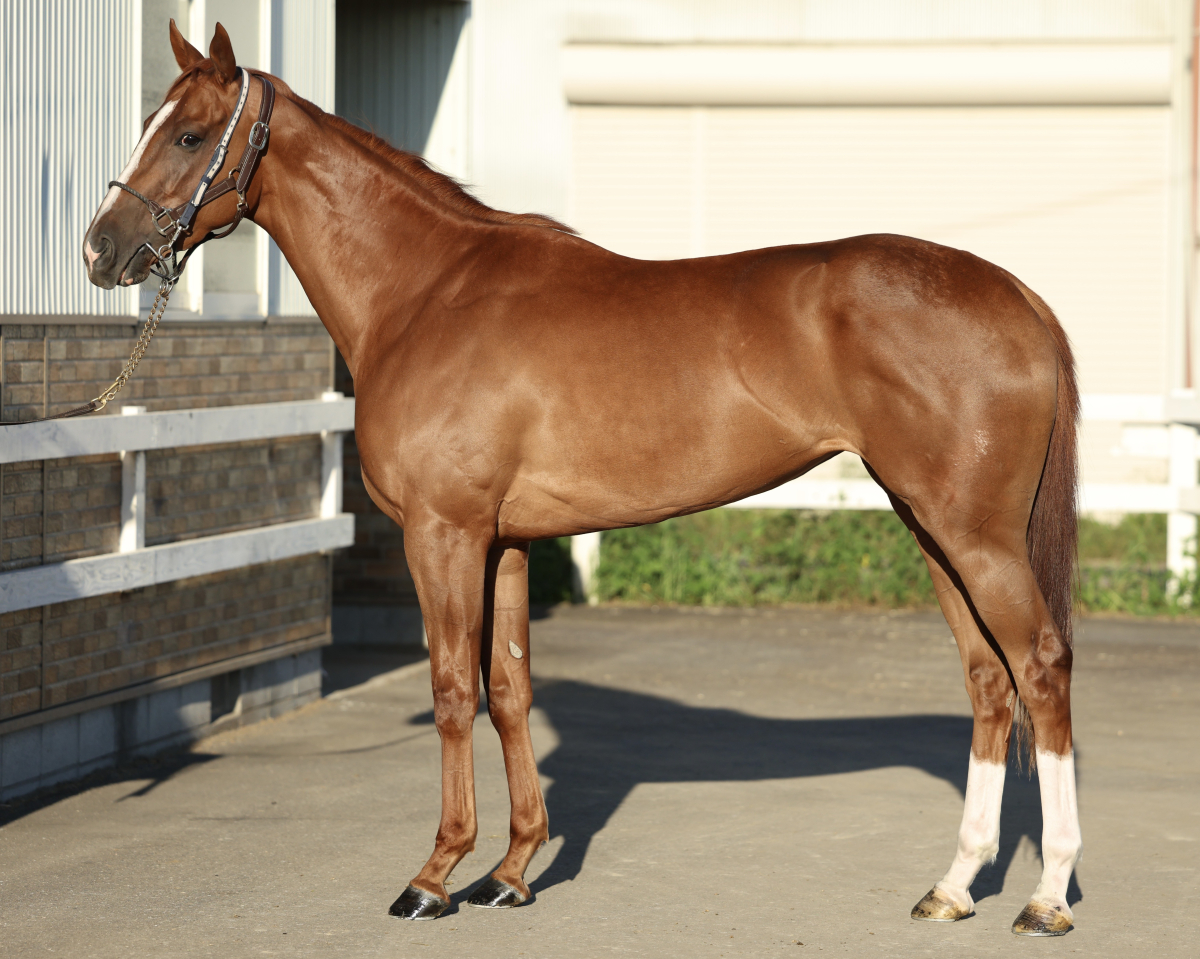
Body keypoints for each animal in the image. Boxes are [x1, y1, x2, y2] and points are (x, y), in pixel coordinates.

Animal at [83, 22, 1082, 937]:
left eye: (187, 135)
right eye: (149, 123)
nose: (100, 250)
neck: (428, 293)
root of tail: (1021, 297)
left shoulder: (444, 533)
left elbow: (454, 690)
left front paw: (434, 876)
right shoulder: (509, 542)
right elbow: (511, 689)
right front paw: (512, 870)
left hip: (974, 535)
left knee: (1039, 667)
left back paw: (1044, 895)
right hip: (930, 527)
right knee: (987, 681)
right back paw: (954, 885)